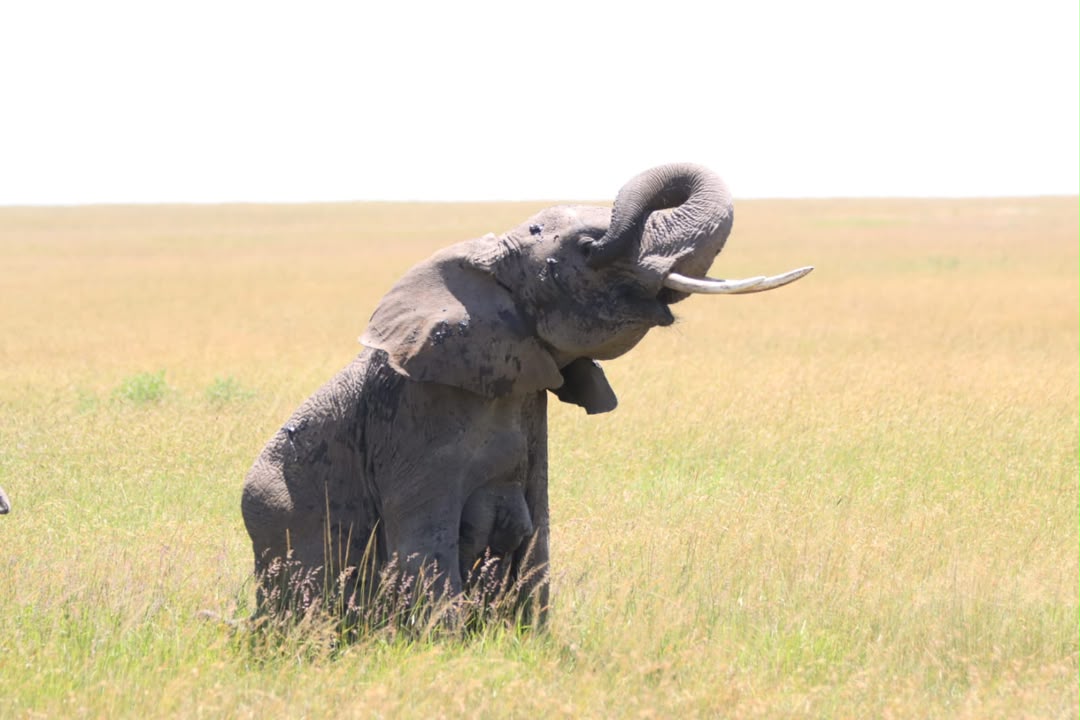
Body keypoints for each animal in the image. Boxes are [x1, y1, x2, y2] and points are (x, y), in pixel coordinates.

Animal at [241, 163, 812, 618]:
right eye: (588, 249)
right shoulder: (415, 422)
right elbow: (425, 541)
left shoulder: (526, 396)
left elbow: (538, 533)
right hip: (281, 515)